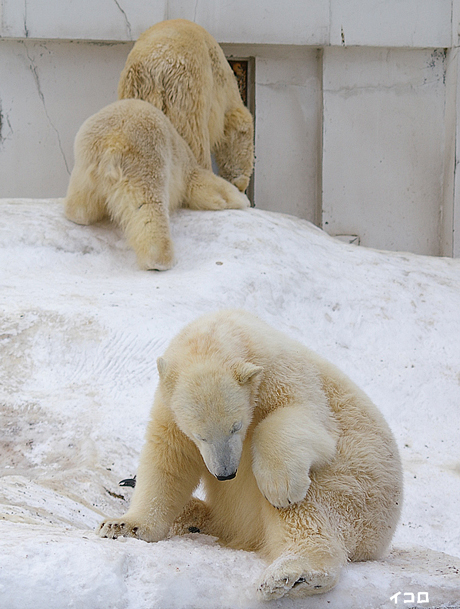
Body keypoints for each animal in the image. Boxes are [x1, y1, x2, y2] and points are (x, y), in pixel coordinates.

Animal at [64, 99, 248, 268]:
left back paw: (78, 214)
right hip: (145, 160)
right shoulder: (186, 168)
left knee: (81, 199)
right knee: (149, 207)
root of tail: (113, 142)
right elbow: (204, 183)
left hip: (86, 162)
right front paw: (239, 199)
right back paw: (160, 260)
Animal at [98, 308, 402, 600]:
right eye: (200, 435)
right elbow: (168, 459)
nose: (225, 474)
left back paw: (293, 575)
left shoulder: (286, 375)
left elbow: (304, 418)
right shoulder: (169, 406)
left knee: (310, 509)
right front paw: (123, 525)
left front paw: (280, 487)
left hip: (354, 491)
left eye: (236, 426)